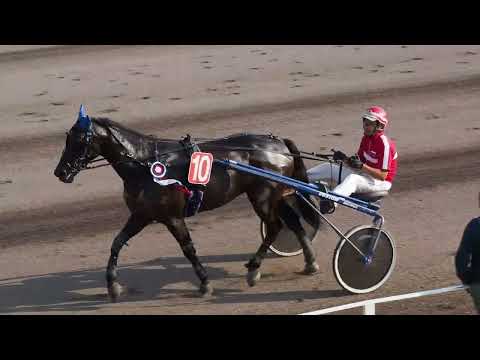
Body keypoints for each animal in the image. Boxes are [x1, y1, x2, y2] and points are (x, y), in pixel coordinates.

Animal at [54, 108, 320, 300]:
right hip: (276, 195)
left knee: (274, 226)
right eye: (67, 138)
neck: (144, 164)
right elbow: (117, 243)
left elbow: (188, 249)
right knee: (292, 221)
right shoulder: (141, 215)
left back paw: (254, 269)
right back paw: (310, 262)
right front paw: (112, 286)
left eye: (79, 140)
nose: (60, 172)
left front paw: (204, 283)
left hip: (263, 197)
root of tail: (280, 145)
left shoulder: (172, 217)